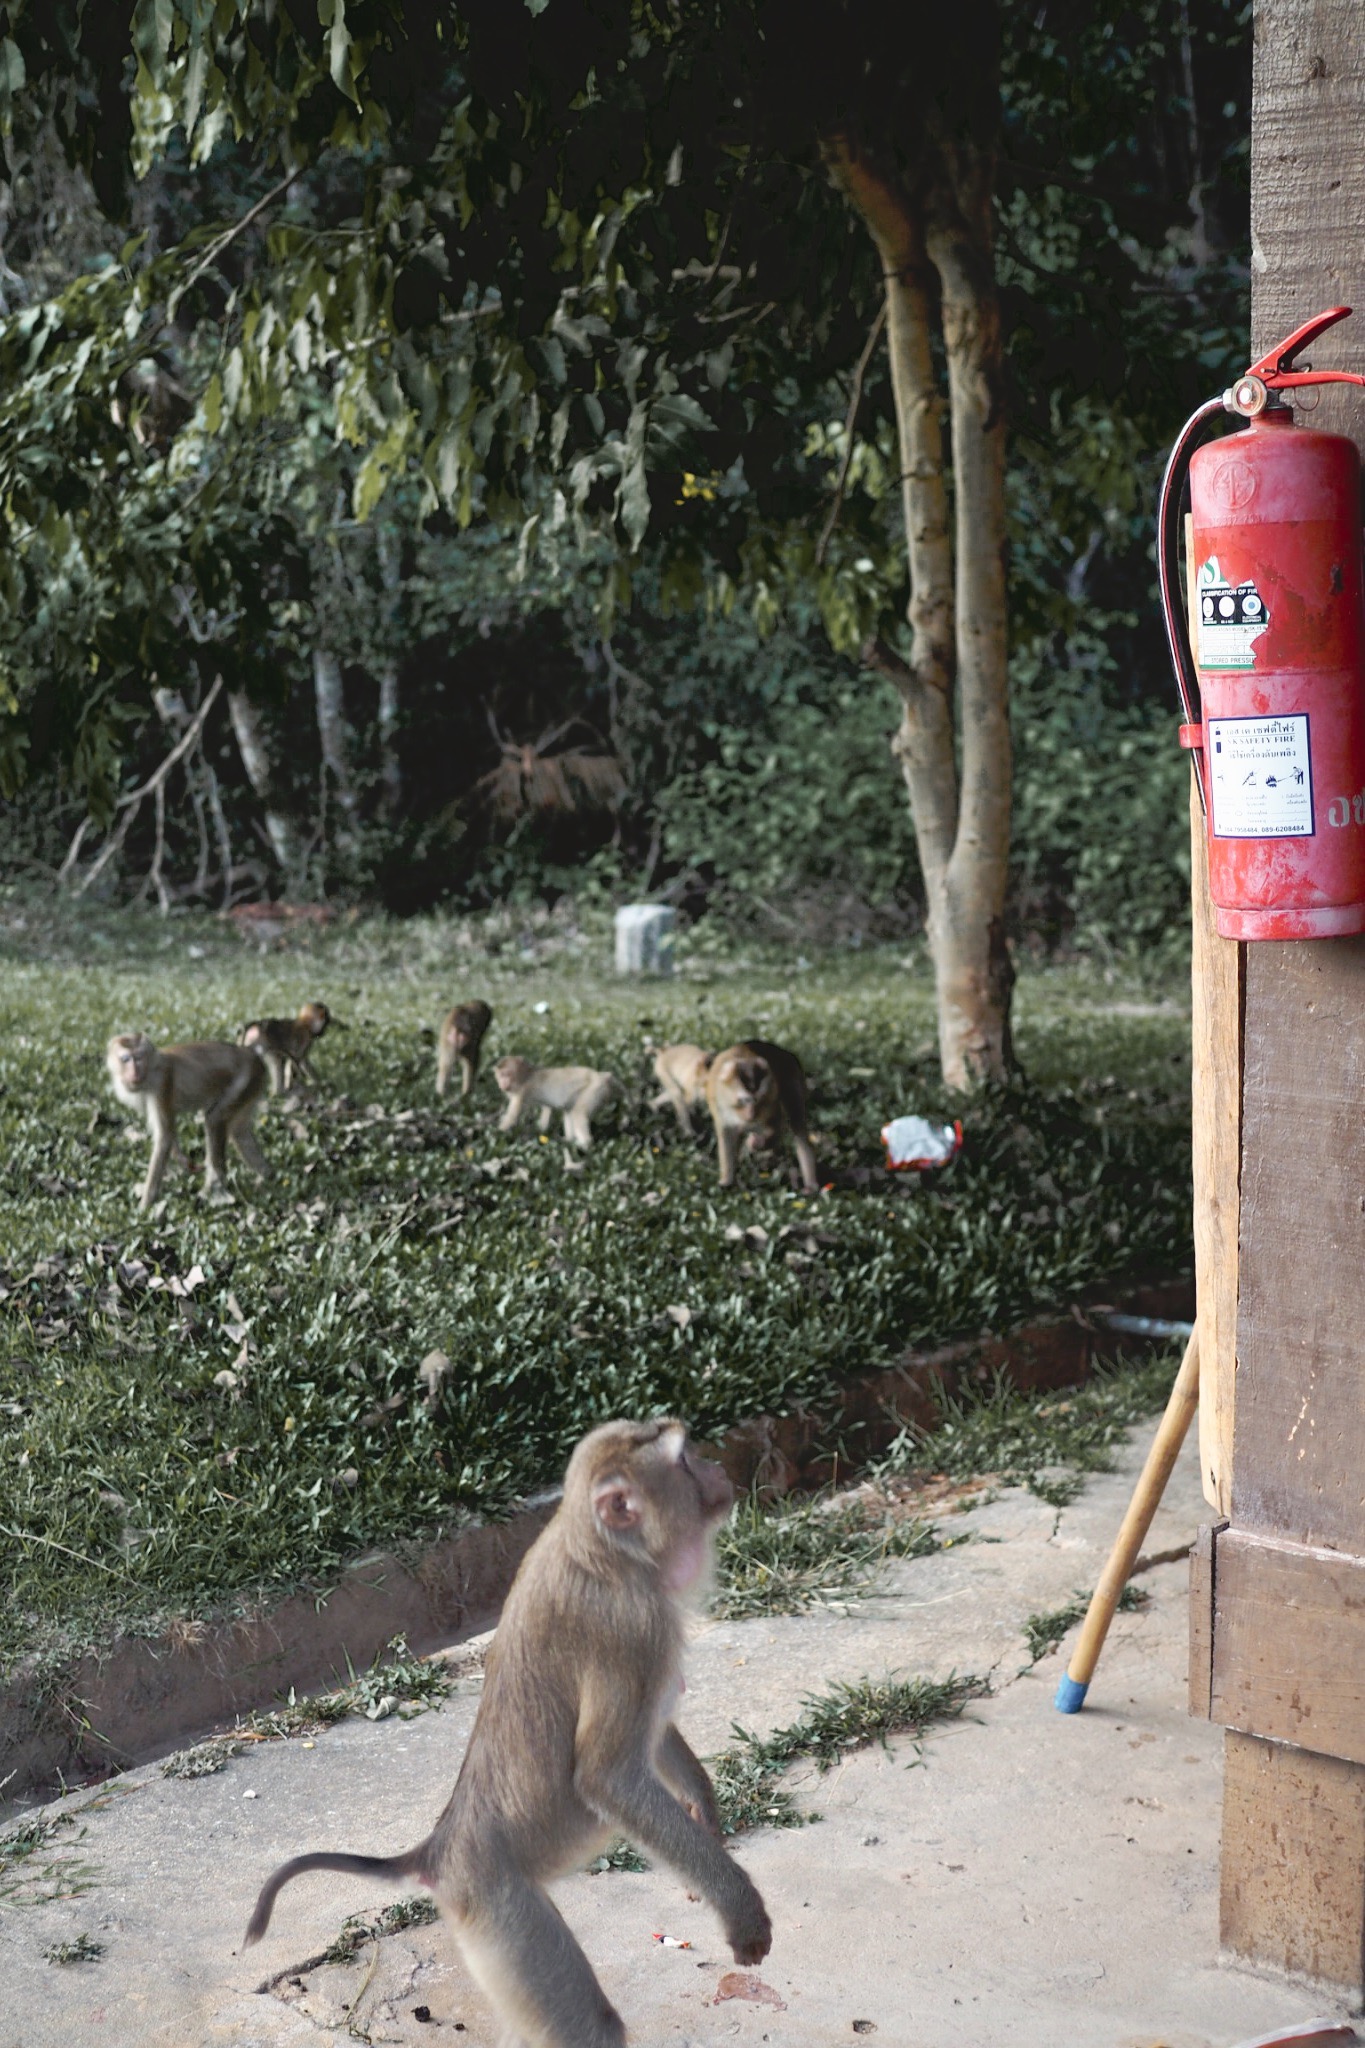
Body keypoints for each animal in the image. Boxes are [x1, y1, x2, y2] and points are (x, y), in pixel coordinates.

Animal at [105, 1032, 270, 1204]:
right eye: (125, 1059)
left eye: (138, 1057)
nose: (135, 1071)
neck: (150, 1070)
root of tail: (253, 1055)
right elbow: (168, 1133)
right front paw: (182, 1161)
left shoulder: (162, 1085)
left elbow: (164, 1137)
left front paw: (146, 1203)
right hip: (252, 1086)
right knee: (239, 1132)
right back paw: (265, 1177)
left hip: (245, 1079)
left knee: (214, 1119)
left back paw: (214, 1188)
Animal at [703, 1032, 822, 1196]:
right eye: (745, 1100)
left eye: (758, 1101)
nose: (751, 1115)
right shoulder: (718, 1106)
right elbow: (726, 1136)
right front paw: (726, 1181)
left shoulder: (771, 1099)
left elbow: (775, 1129)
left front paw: (757, 1143)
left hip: (793, 1080)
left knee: (797, 1125)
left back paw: (809, 1182)